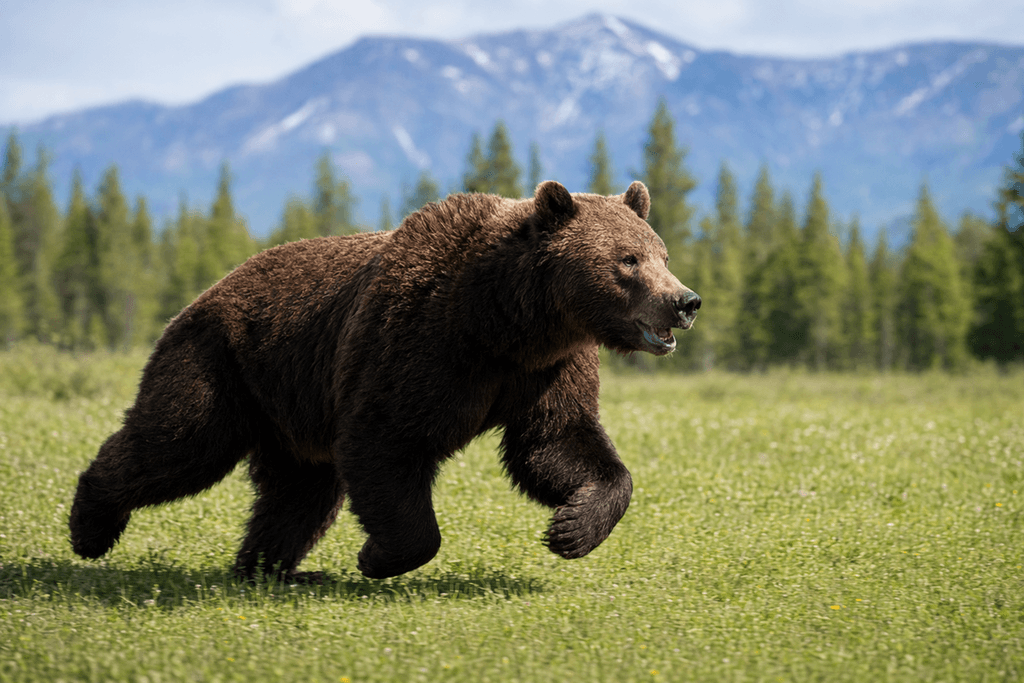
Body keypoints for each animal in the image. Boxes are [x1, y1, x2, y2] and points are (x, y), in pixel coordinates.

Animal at [68, 180, 701, 582]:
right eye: (627, 260)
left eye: (663, 254)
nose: (685, 301)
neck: (505, 322)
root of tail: (207, 290)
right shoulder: (420, 340)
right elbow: (387, 439)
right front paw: (378, 556)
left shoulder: (547, 370)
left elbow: (557, 444)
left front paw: (571, 527)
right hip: (222, 361)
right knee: (179, 442)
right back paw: (90, 525)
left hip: (291, 410)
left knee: (299, 493)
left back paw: (271, 570)